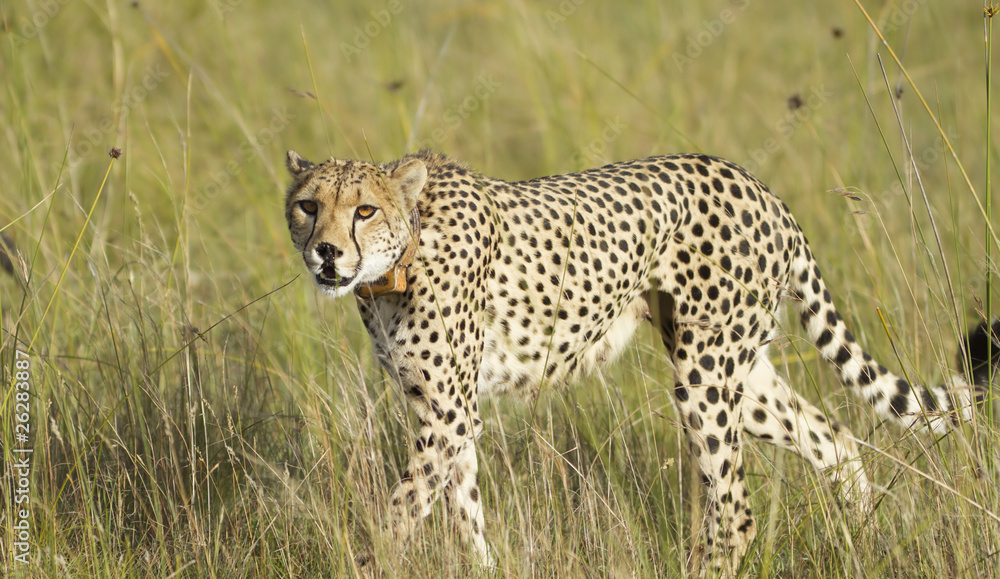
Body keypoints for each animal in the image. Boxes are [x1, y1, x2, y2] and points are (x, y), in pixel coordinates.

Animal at [283, 148, 998, 575]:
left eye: (364, 209)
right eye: (308, 205)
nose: (326, 252)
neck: (399, 258)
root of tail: (757, 184)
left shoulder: (450, 414)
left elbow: (400, 513)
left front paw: (366, 563)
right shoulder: (443, 411)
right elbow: (463, 511)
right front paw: (484, 564)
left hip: (705, 377)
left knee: (735, 509)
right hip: (738, 371)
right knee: (836, 442)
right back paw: (860, 541)